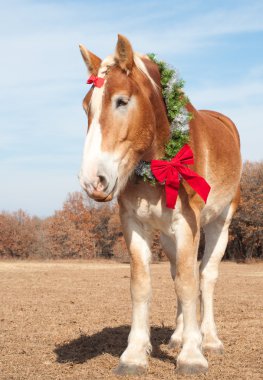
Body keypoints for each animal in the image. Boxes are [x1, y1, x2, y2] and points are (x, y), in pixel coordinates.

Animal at [78, 33, 243, 374]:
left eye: (122, 101)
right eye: (87, 106)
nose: (92, 181)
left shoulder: (188, 225)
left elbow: (189, 284)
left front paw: (193, 356)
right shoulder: (134, 224)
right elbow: (142, 286)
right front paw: (134, 355)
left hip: (219, 224)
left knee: (206, 277)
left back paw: (209, 339)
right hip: (167, 235)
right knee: (177, 272)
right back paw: (179, 336)